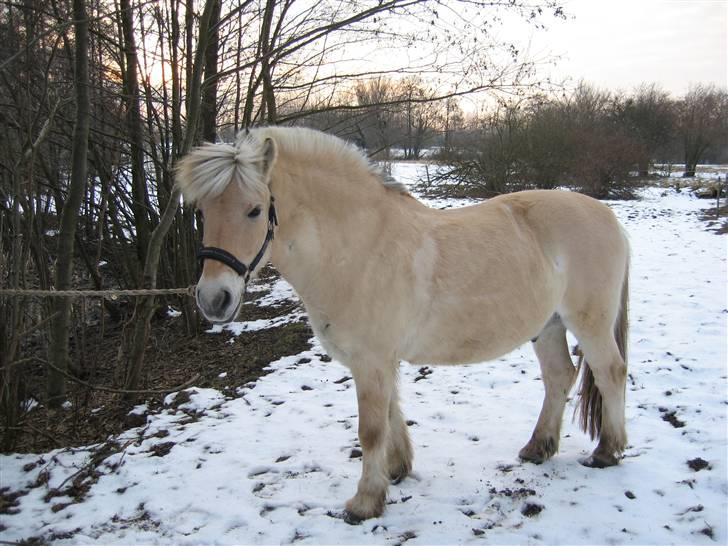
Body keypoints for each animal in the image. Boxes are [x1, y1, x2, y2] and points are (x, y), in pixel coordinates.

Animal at [173, 125, 628, 520]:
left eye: (254, 210)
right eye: (202, 213)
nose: (213, 299)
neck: (360, 247)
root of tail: (607, 216)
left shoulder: (372, 359)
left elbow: (370, 429)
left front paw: (364, 503)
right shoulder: (378, 359)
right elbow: (391, 412)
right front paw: (396, 472)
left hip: (589, 322)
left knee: (611, 372)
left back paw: (607, 451)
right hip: (548, 325)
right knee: (559, 376)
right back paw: (538, 448)